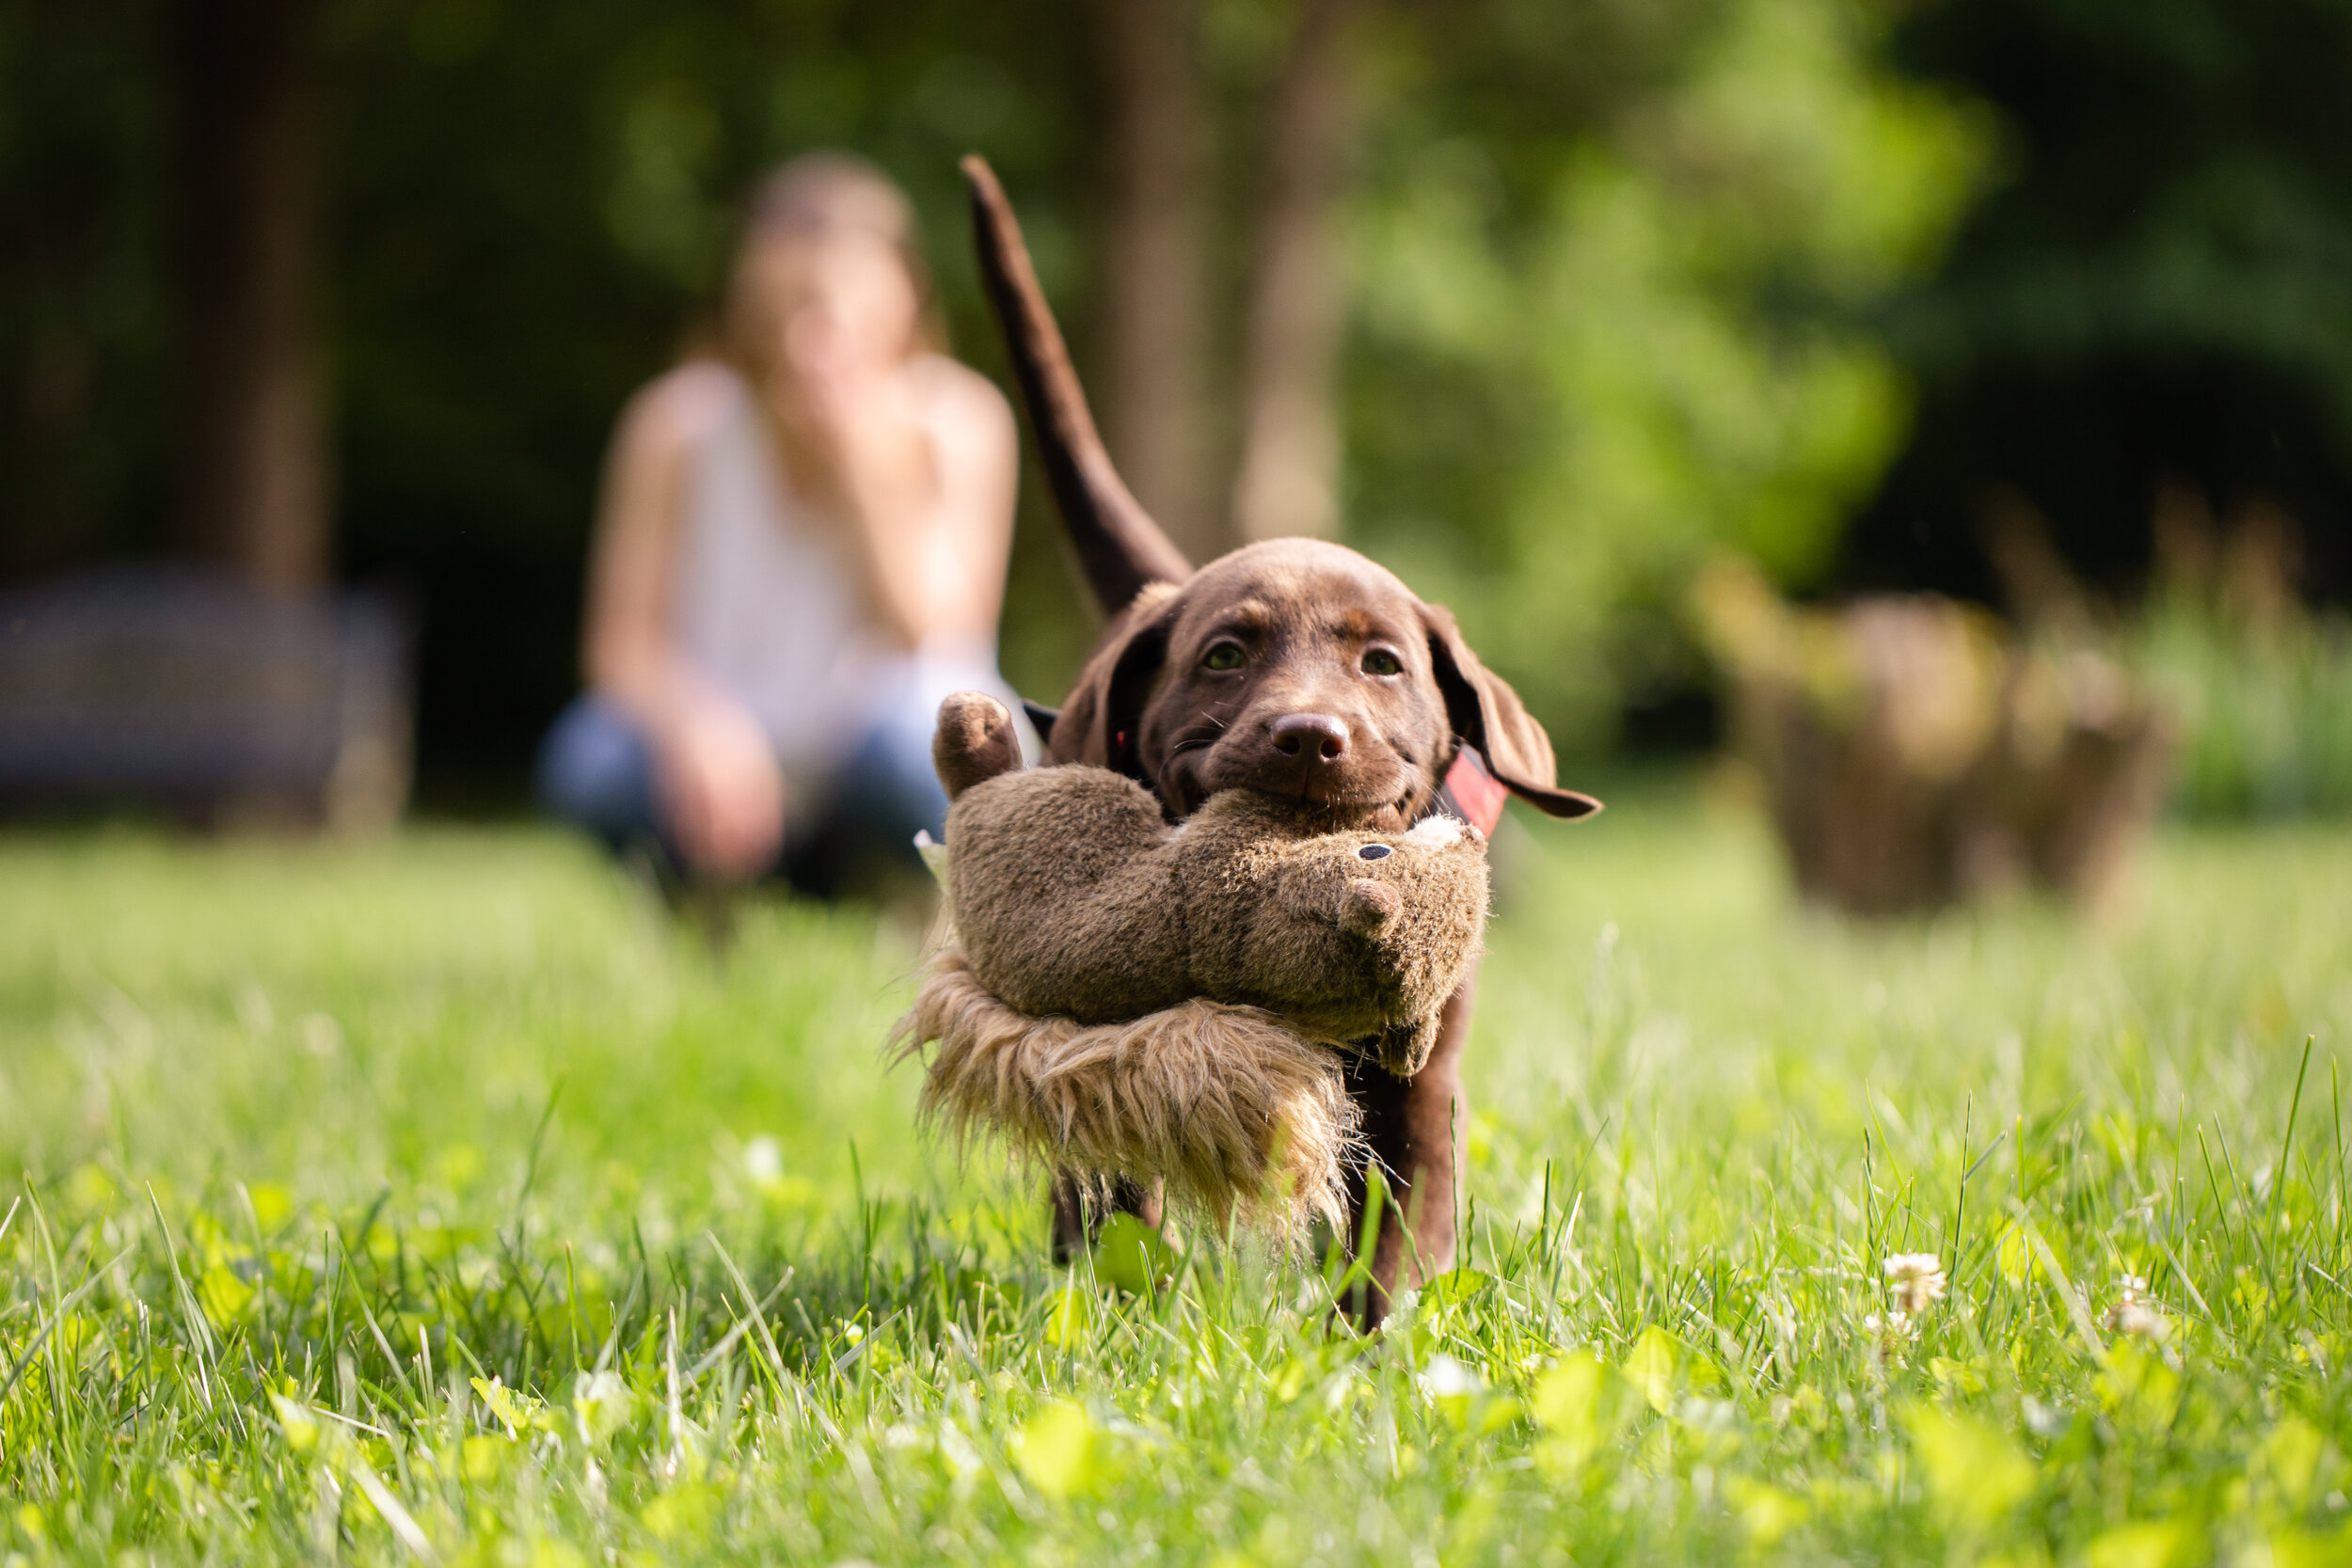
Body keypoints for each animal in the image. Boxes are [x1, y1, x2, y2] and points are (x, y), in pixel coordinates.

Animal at [960, 156, 1599, 1325]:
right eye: (1224, 654)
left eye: (1382, 662)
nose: (1308, 735)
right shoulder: (1107, 1042)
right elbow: (1115, 1182)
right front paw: (1122, 1314)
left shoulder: (1419, 1083)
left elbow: (1400, 1226)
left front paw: (1374, 1338)